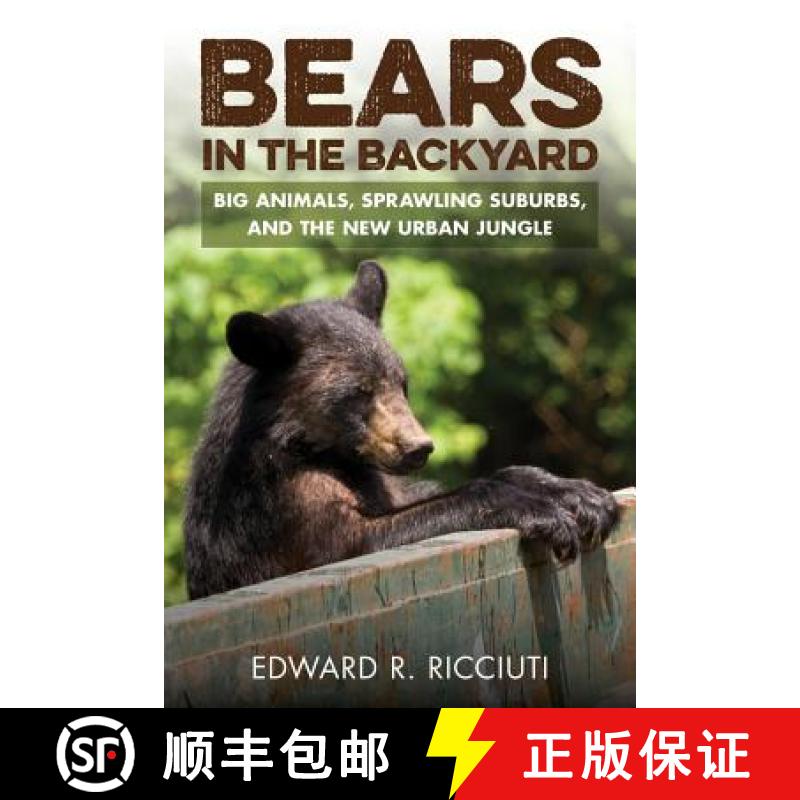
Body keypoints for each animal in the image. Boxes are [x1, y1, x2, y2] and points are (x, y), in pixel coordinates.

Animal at [184, 260, 618, 600]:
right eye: (358, 392)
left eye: (402, 383)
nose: (418, 447)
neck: (308, 448)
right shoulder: (282, 503)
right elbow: (356, 542)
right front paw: (540, 510)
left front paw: (579, 494)